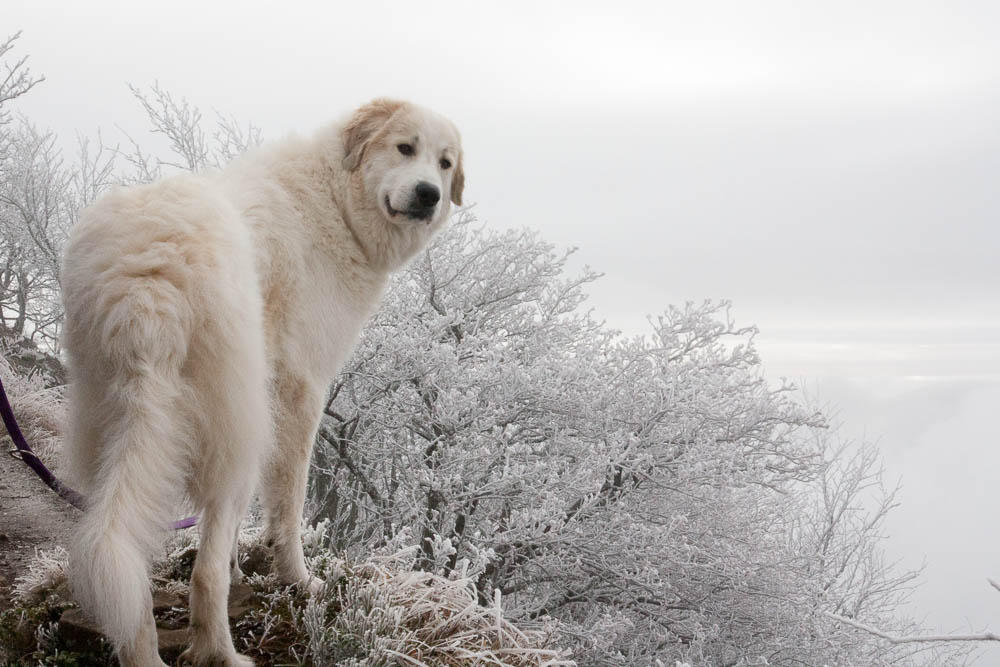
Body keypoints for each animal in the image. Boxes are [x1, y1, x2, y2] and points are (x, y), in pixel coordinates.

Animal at [60, 100, 466, 667]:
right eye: (405, 148)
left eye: (445, 164)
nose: (429, 193)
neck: (336, 199)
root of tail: (148, 281)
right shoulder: (302, 391)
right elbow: (288, 507)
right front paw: (299, 580)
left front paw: (242, 569)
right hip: (236, 434)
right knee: (203, 574)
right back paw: (222, 653)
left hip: (117, 421)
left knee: (126, 552)